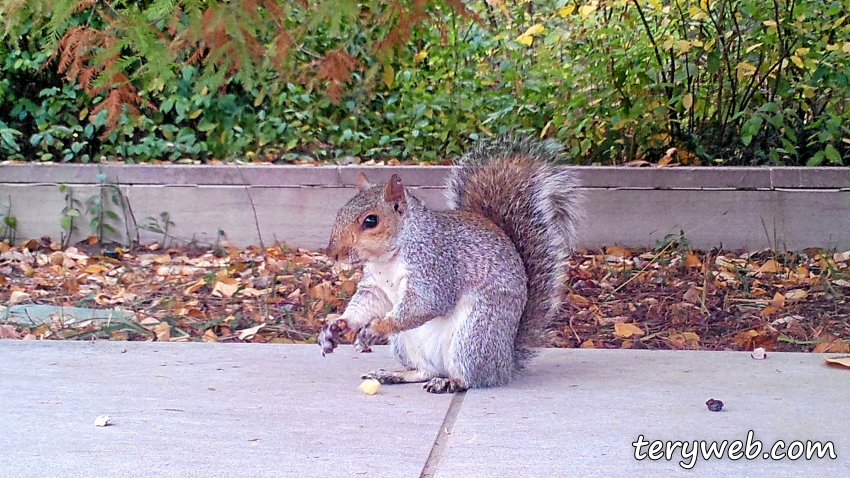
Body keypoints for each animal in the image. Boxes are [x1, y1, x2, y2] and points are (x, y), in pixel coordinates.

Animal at [314, 134, 580, 392]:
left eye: (371, 221)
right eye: (340, 211)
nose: (332, 253)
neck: (386, 259)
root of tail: (505, 363)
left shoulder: (435, 264)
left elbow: (427, 302)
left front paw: (375, 328)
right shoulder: (376, 286)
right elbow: (368, 301)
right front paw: (337, 326)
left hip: (474, 335)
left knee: (471, 377)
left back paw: (452, 382)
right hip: (406, 342)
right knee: (425, 371)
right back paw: (394, 374)